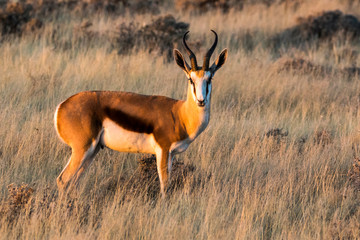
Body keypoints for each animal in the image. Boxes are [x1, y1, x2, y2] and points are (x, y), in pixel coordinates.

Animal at [53, 30, 228, 197]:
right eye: (191, 79)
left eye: (209, 78)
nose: (201, 101)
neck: (180, 114)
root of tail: (62, 106)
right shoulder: (163, 150)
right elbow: (165, 185)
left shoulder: (171, 154)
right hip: (82, 148)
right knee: (63, 180)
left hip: (93, 151)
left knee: (73, 182)